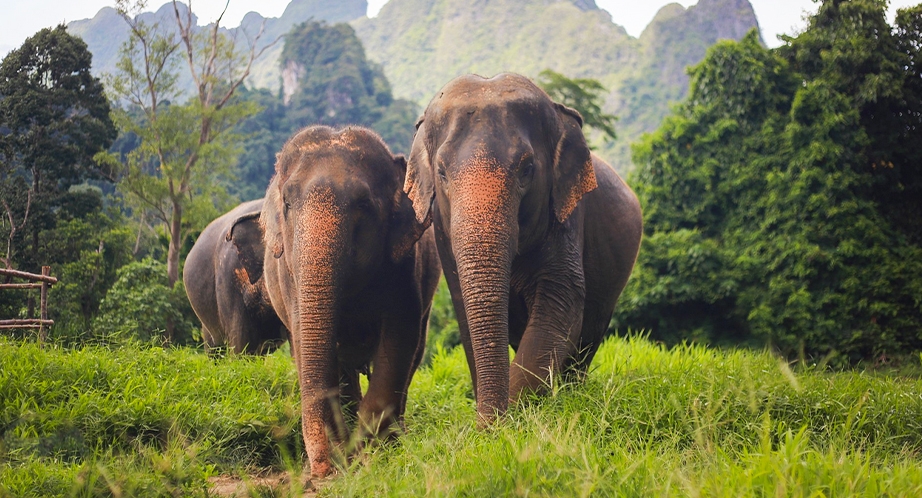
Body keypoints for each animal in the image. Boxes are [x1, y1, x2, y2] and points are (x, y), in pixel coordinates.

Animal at [241, 125, 442, 478]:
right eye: (287, 202)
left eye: (363, 204)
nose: (321, 470)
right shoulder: (288, 277)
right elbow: (307, 345)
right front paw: (349, 453)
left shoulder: (405, 267)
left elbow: (399, 340)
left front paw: (371, 451)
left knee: (413, 353)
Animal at [406, 73, 644, 424]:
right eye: (442, 172)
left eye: (527, 169)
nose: (487, 427)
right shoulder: (442, 234)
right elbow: (465, 314)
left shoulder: (567, 213)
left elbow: (561, 303)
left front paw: (514, 418)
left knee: (588, 336)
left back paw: (571, 394)